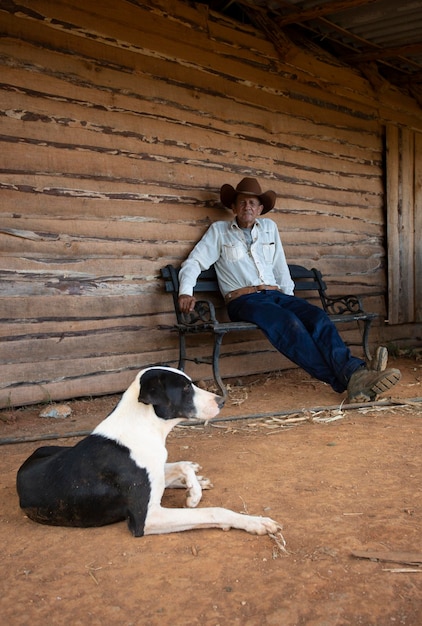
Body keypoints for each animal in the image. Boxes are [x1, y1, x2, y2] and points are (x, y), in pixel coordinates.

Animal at [16, 366, 282, 536]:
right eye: (185, 389)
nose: (222, 402)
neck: (147, 428)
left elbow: (182, 465)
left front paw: (193, 490)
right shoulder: (147, 519)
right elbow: (214, 511)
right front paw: (254, 522)